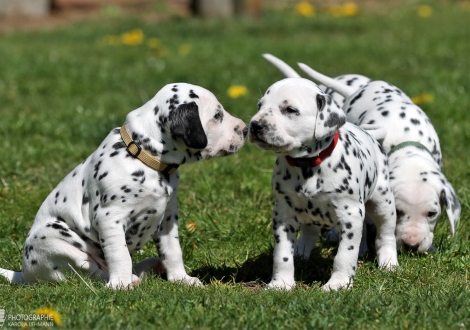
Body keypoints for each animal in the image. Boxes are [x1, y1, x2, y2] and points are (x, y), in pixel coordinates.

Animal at [0, 83, 248, 288]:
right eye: (217, 115)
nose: (245, 129)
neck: (144, 157)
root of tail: (24, 275)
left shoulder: (168, 217)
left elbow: (172, 250)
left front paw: (181, 278)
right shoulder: (110, 218)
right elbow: (119, 254)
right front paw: (120, 284)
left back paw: (150, 267)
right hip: (55, 240)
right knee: (90, 272)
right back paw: (129, 279)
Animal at [248, 78, 398, 292]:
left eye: (290, 110)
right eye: (260, 106)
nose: (255, 125)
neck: (307, 165)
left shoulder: (350, 213)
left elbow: (344, 254)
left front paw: (338, 284)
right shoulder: (283, 214)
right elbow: (281, 255)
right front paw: (281, 283)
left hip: (382, 202)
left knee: (385, 234)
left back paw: (388, 262)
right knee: (311, 231)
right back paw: (301, 252)